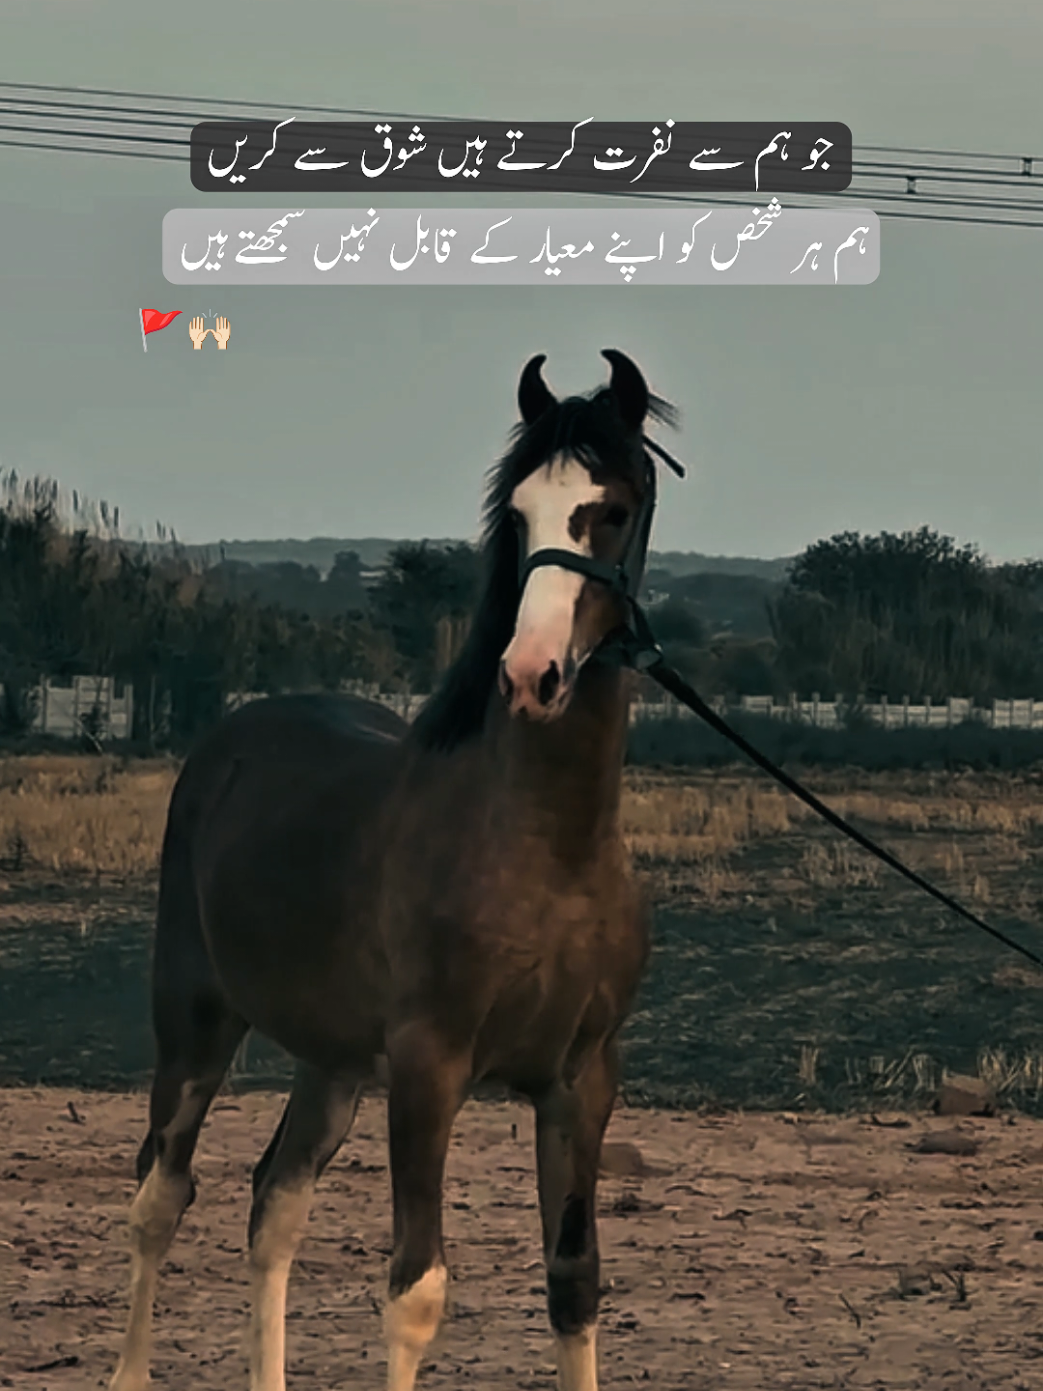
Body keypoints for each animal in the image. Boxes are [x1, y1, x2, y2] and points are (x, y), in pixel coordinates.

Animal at [108, 348, 680, 1391]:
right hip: (197, 1023)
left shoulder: (580, 1080)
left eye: (612, 508)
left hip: (333, 1061)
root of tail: (235, 734)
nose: (531, 673)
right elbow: (415, 1294)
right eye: (519, 512)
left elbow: (574, 1282)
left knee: (273, 1203)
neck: (545, 852)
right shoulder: (428, 1067)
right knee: (161, 1196)